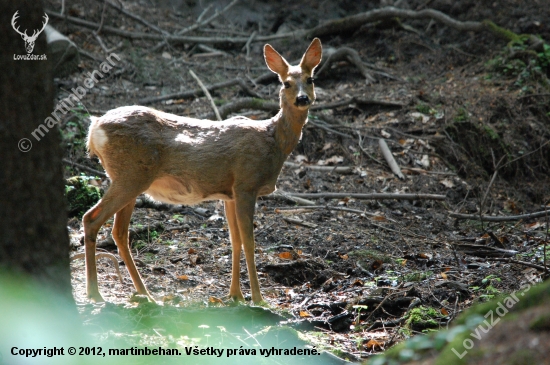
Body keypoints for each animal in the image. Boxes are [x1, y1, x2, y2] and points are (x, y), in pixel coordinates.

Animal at [82, 37, 324, 304]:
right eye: (286, 83)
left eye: (311, 79)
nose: (302, 99)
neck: (272, 141)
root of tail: (94, 129)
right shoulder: (246, 184)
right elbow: (249, 242)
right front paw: (258, 298)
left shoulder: (230, 194)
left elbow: (235, 241)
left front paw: (235, 294)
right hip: (130, 176)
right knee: (91, 218)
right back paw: (95, 293)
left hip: (129, 178)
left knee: (119, 232)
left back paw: (144, 293)